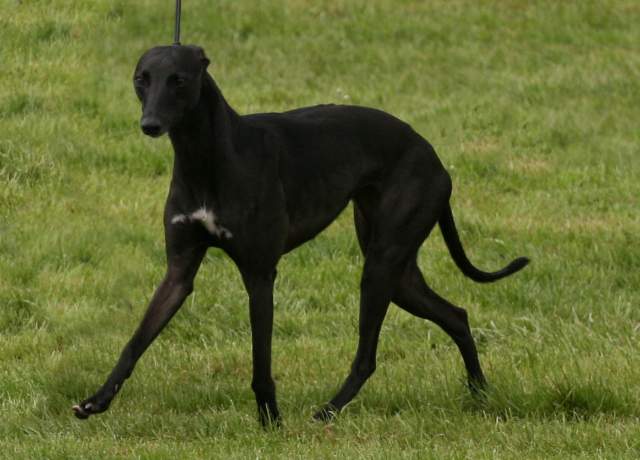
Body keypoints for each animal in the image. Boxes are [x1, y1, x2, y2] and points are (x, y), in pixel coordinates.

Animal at [73, 45, 528, 425]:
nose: (149, 125)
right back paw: (479, 393)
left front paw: (270, 420)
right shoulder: (179, 271)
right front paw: (96, 401)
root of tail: (432, 154)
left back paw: (329, 410)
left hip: (382, 263)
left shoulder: (260, 274)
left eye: (178, 80)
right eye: (142, 78)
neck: (208, 157)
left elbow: (261, 360)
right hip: (399, 273)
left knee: (368, 356)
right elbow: (136, 340)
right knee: (456, 315)